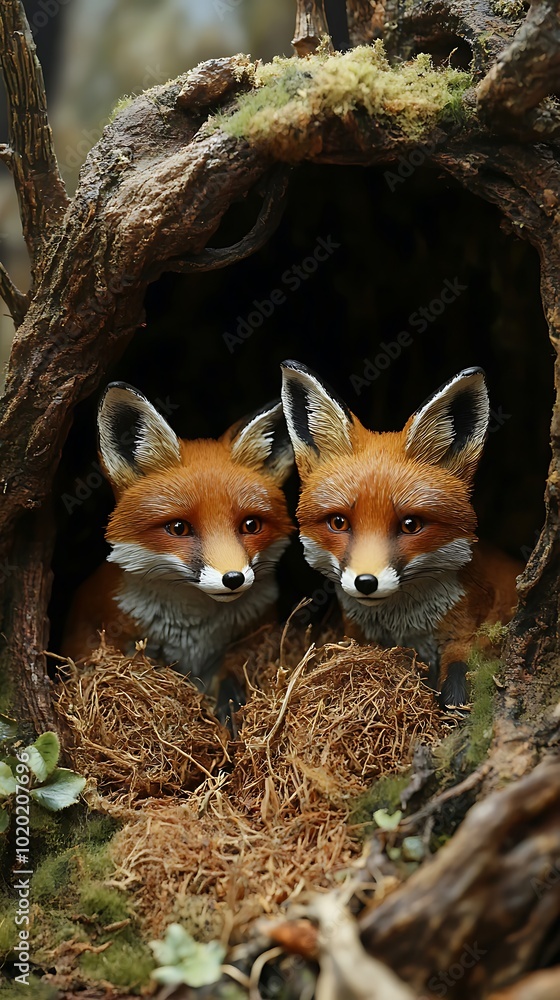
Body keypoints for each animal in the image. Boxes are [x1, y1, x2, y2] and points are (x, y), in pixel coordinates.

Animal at [280, 361, 521, 709]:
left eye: (410, 525)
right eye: (338, 522)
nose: (366, 582)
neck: (405, 628)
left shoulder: (469, 626)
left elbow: (459, 679)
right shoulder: (359, 634)